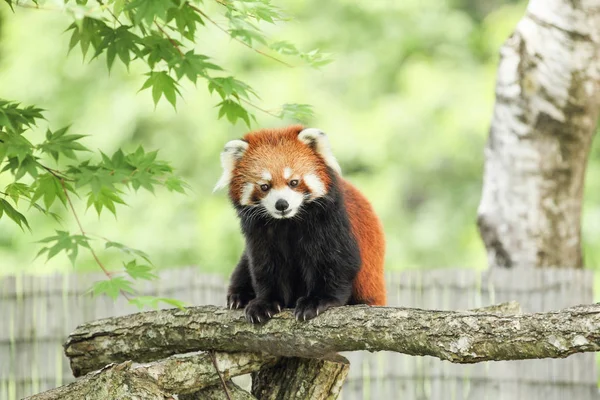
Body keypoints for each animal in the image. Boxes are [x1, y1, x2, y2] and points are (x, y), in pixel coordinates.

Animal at [213, 125, 386, 322]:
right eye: (264, 186)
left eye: (294, 182)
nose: (282, 204)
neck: (287, 222)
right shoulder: (259, 233)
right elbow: (265, 265)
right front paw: (265, 303)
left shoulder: (330, 221)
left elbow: (335, 261)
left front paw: (317, 300)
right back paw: (238, 297)